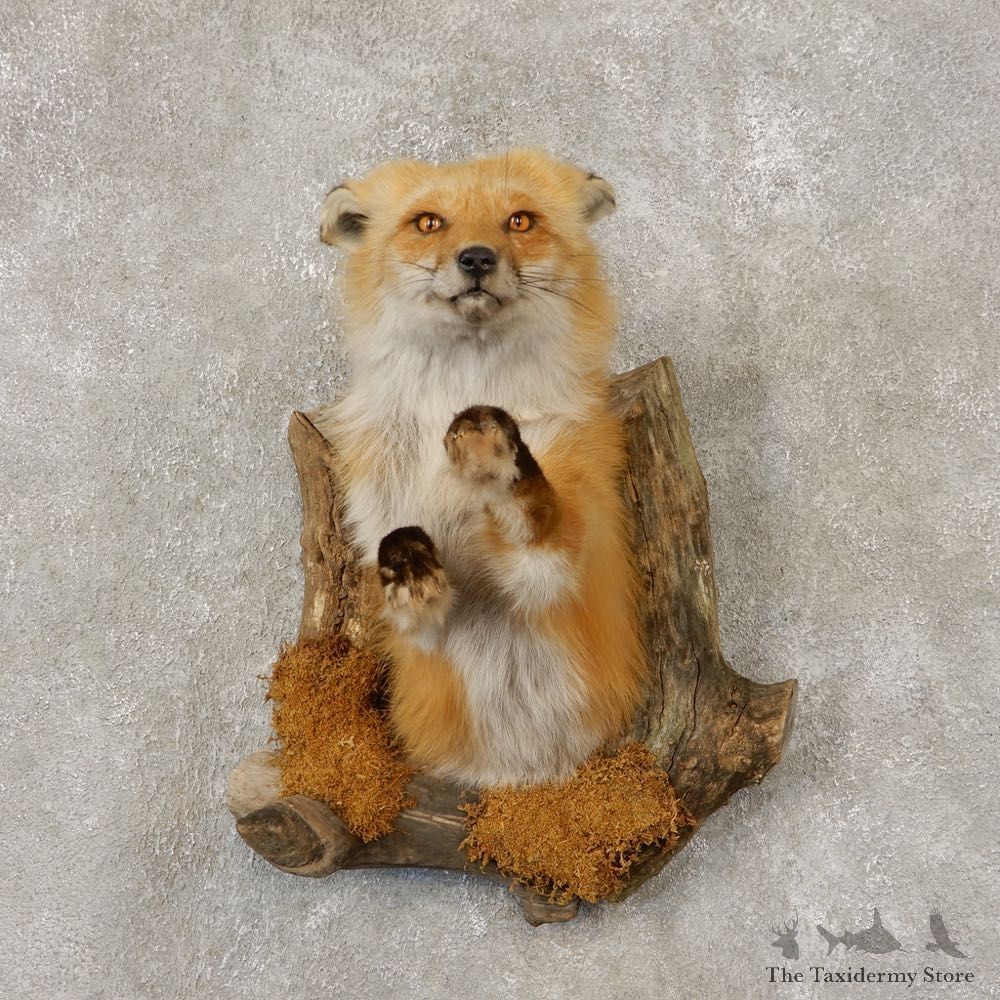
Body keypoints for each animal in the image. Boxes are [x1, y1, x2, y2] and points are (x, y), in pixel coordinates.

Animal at [313, 148, 646, 788]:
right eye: (428, 223)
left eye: (519, 221)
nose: (476, 258)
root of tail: (513, 774)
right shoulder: (394, 556)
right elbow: (403, 566)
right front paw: (410, 566)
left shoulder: (559, 560)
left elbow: (538, 513)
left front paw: (496, 456)